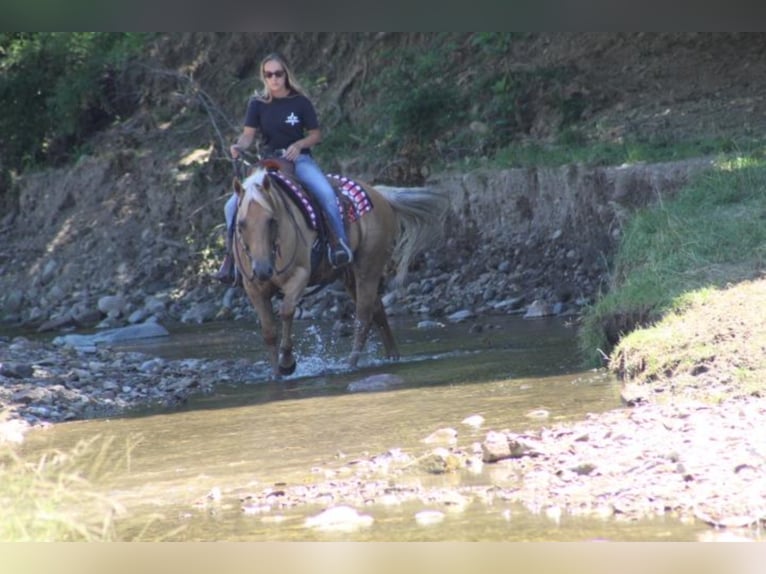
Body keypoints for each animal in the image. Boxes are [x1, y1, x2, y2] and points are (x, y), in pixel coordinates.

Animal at [234, 162, 450, 378]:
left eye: (271, 220)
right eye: (241, 224)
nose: (262, 269)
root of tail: (379, 194)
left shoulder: (300, 276)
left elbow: (286, 312)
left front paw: (287, 362)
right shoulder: (254, 289)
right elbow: (269, 332)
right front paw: (276, 374)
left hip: (368, 267)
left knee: (363, 317)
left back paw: (350, 364)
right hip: (349, 276)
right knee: (378, 311)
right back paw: (392, 357)